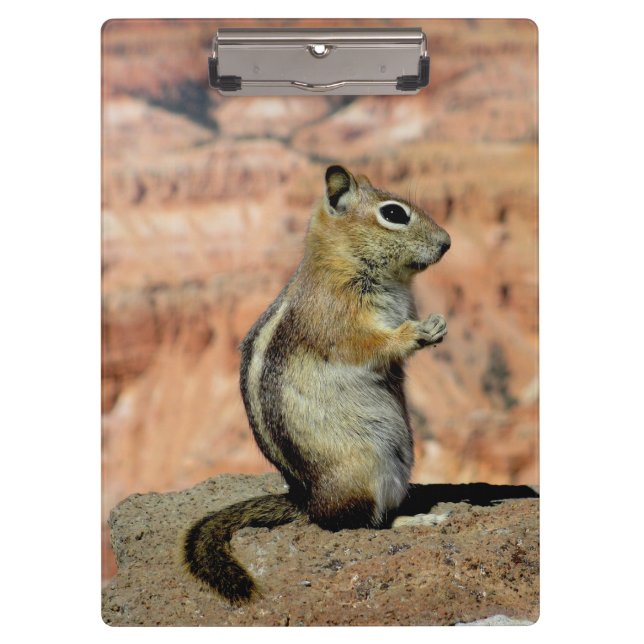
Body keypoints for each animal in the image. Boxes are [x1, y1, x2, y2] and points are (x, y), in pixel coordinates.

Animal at [182, 165, 451, 604]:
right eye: (394, 213)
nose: (447, 242)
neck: (342, 261)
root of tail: (307, 500)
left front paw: (438, 325)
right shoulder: (339, 317)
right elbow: (370, 345)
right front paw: (416, 332)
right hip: (366, 470)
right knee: (356, 524)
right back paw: (417, 520)